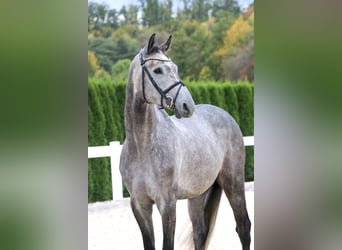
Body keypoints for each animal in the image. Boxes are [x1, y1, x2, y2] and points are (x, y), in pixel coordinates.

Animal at [120, 33, 251, 250]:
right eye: (157, 70)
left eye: (175, 68)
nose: (187, 105)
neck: (142, 147)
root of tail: (225, 115)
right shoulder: (139, 205)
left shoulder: (167, 204)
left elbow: (167, 245)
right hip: (197, 195)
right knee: (200, 233)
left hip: (233, 182)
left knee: (243, 227)